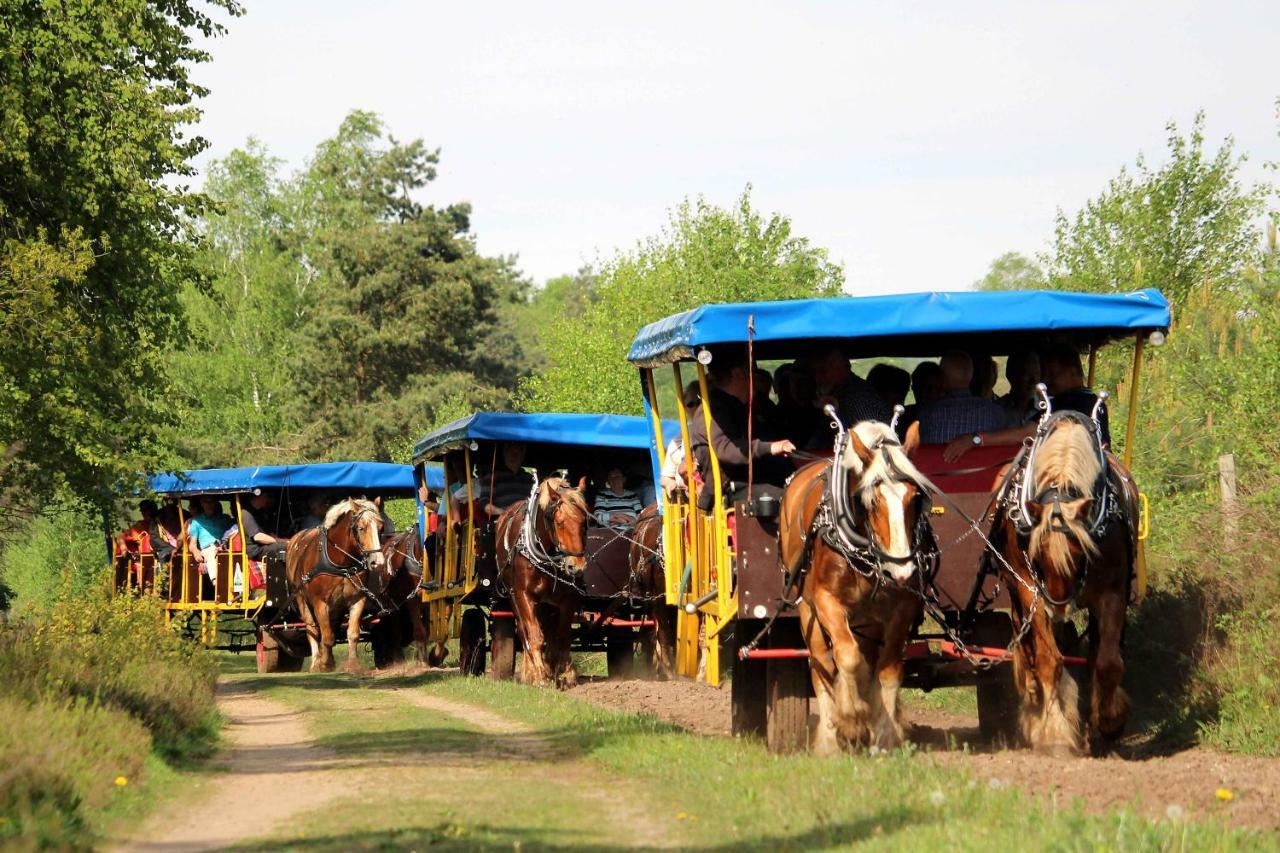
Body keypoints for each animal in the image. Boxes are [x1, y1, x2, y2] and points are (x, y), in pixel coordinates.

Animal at [288, 499, 386, 671]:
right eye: (361, 528)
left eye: (381, 527)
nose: (378, 561)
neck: (341, 564)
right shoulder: (320, 603)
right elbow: (326, 636)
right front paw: (324, 663)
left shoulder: (357, 599)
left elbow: (352, 633)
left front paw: (353, 664)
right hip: (301, 598)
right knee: (312, 630)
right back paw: (316, 661)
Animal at [494, 473, 593, 686]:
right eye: (559, 522)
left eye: (584, 522)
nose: (576, 566)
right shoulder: (523, 595)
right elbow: (534, 635)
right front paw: (539, 675)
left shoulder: (568, 599)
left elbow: (562, 635)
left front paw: (565, 672)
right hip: (513, 597)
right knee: (523, 631)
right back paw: (531, 670)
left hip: (548, 603)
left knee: (550, 632)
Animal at [773, 417, 936, 753]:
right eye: (870, 501)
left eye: (915, 498)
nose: (901, 571)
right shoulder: (826, 602)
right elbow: (846, 657)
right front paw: (850, 720)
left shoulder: (902, 609)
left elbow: (888, 669)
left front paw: (884, 733)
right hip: (808, 611)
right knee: (820, 663)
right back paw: (830, 739)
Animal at [983, 409, 1136, 753]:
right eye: (1035, 556)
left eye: (1081, 554)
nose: (1058, 608)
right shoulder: (1031, 592)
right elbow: (1048, 661)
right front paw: (1054, 732)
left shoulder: (1112, 591)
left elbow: (1108, 663)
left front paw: (1108, 722)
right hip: (1016, 592)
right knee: (1027, 643)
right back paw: (1034, 698)